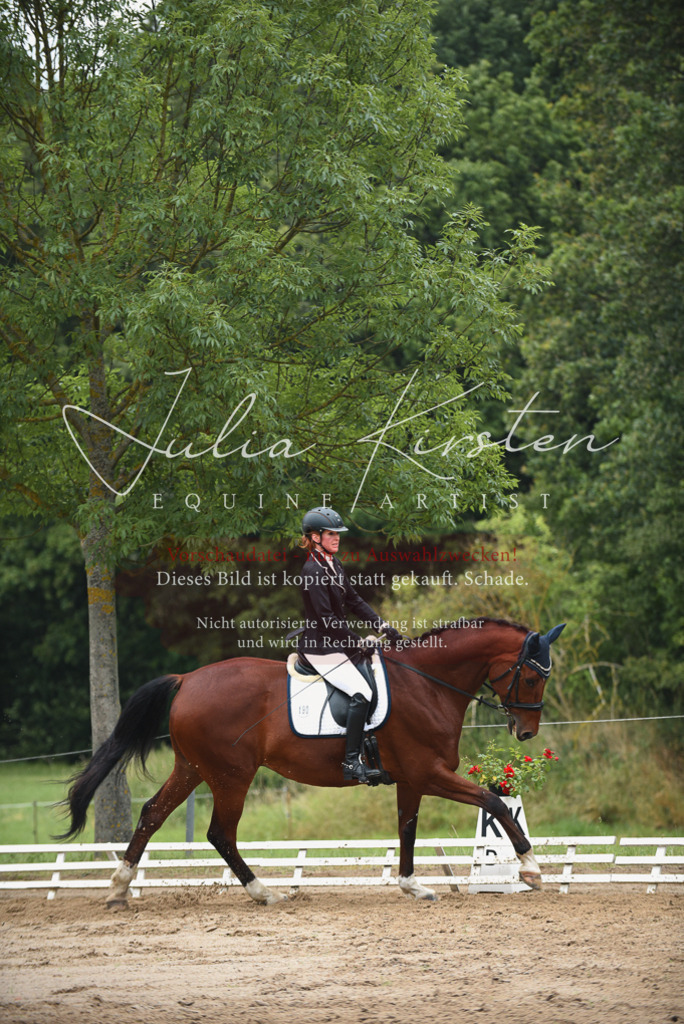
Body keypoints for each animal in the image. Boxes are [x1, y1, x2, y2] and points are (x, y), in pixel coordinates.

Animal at [60, 617, 565, 905]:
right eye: (533, 679)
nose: (526, 732)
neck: (428, 683)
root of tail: (187, 679)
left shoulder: (411, 780)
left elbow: (407, 828)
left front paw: (412, 886)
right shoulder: (430, 773)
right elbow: (495, 804)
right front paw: (531, 869)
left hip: (190, 767)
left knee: (151, 814)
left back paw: (119, 889)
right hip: (231, 774)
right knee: (220, 833)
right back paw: (264, 893)